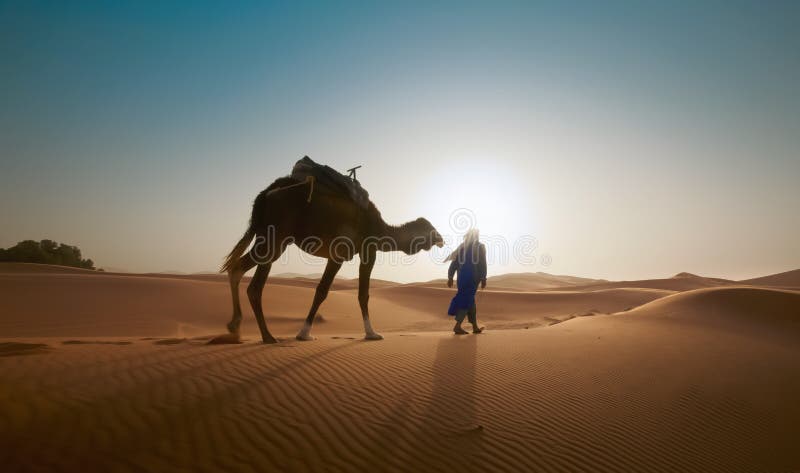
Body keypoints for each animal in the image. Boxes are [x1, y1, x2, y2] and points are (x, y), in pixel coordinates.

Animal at [220, 159, 444, 342]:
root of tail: (265, 194)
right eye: (431, 229)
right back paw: (266, 336)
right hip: (276, 236)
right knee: (250, 281)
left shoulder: (351, 252)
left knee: (240, 271)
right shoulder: (356, 251)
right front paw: (370, 333)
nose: (441, 239)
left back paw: (236, 329)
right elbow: (339, 292)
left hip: (270, 237)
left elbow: (347, 292)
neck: (380, 230)